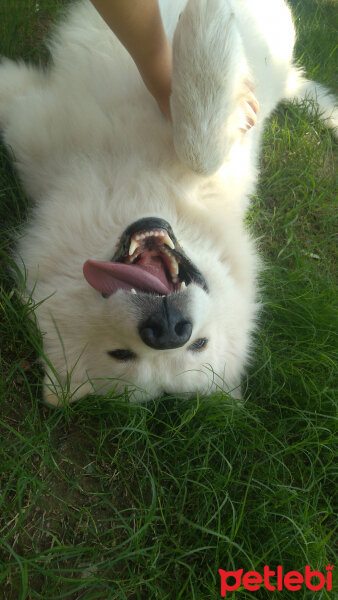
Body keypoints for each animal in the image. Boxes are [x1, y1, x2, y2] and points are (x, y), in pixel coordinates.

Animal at [0, 0, 336, 406]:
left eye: (199, 345)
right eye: (121, 354)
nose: (169, 330)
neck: (131, 184)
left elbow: (199, 147)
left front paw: (207, 22)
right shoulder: (29, 125)